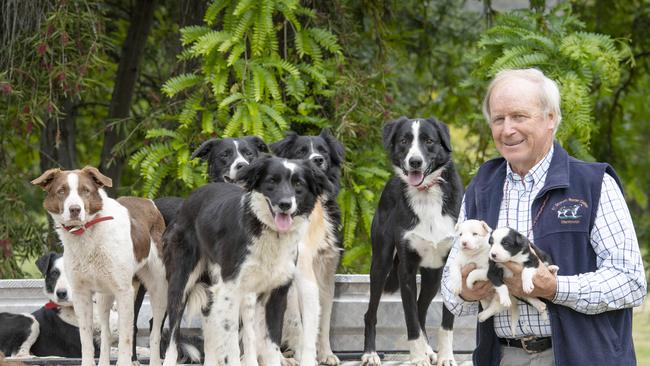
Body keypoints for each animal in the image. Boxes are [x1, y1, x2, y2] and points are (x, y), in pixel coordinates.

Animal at [33, 167, 167, 366]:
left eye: (85, 190)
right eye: (61, 191)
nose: (75, 209)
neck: (86, 234)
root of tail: (148, 202)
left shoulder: (124, 292)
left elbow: (126, 338)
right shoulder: (81, 294)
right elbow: (86, 339)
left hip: (158, 289)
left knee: (154, 332)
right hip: (104, 295)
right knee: (106, 333)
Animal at [268, 129, 344, 366]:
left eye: (323, 151)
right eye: (301, 152)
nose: (317, 160)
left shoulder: (327, 270)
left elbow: (324, 317)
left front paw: (326, 353)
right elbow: (297, 322)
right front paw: (303, 354)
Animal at [360, 116, 460, 366]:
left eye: (429, 141)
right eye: (404, 141)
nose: (415, 162)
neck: (426, 195)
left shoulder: (451, 270)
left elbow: (445, 323)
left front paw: (445, 356)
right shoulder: (405, 270)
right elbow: (410, 320)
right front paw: (417, 358)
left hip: (433, 276)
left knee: (422, 310)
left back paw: (429, 350)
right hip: (381, 264)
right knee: (371, 313)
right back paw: (370, 353)